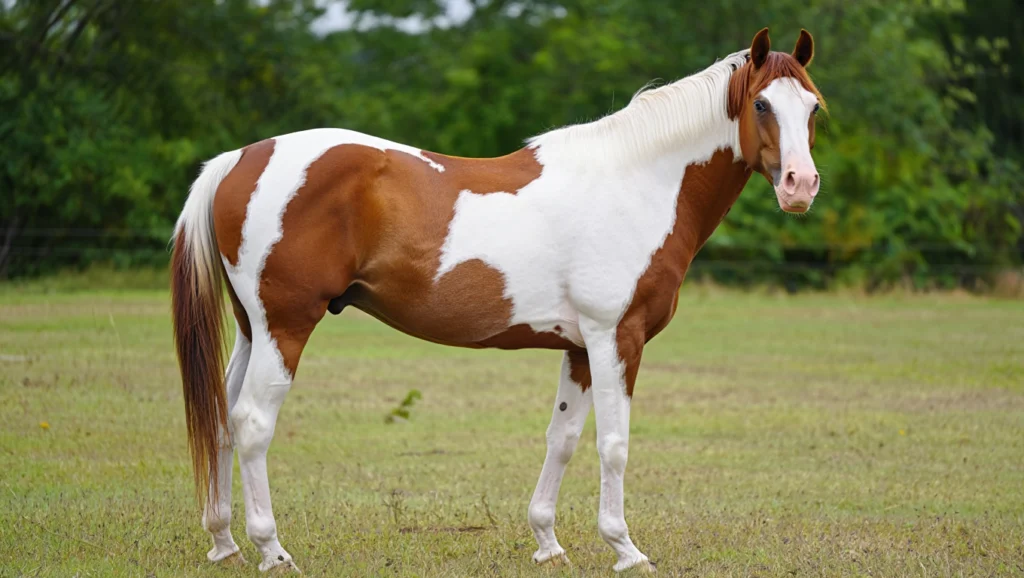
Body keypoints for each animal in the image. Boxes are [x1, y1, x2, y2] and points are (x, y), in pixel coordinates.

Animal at [171, 27, 825, 573]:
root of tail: (240, 159)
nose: (801, 186)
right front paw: (625, 549)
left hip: (252, 328)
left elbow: (563, 439)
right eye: (762, 104)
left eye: (813, 107)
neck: (637, 183)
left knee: (222, 418)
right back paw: (271, 549)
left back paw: (224, 542)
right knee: (253, 422)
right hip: (285, 326)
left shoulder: (580, 349)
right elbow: (613, 445)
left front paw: (548, 543)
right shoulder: (617, 337)